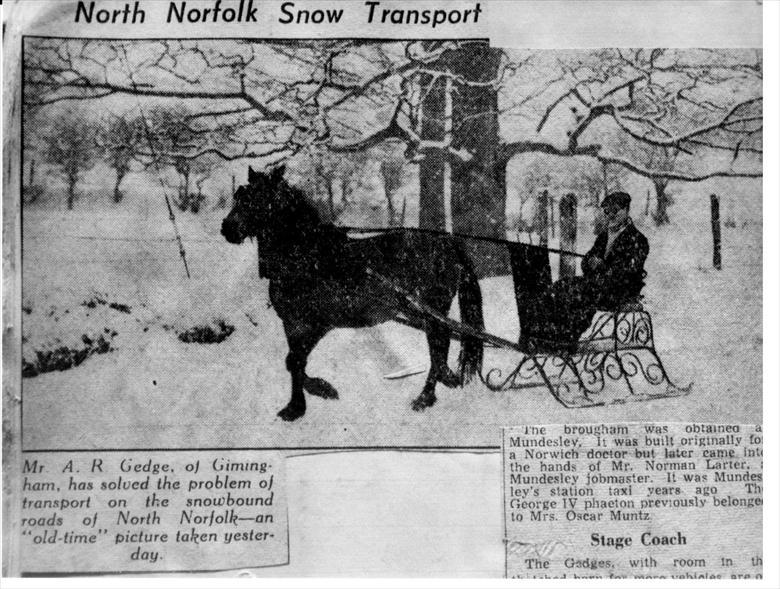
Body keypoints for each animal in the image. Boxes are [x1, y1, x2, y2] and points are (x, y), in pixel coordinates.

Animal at [222, 165, 484, 420]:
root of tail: (447, 244)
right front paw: (321, 390)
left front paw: (298, 406)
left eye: (260, 198)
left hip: (432, 309)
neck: (306, 256)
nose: (228, 229)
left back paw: (425, 397)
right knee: (440, 345)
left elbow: (296, 361)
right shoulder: (292, 324)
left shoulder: (314, 323)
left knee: (438, 345)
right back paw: (444, 379)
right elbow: (292, 362)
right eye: (240, 195)